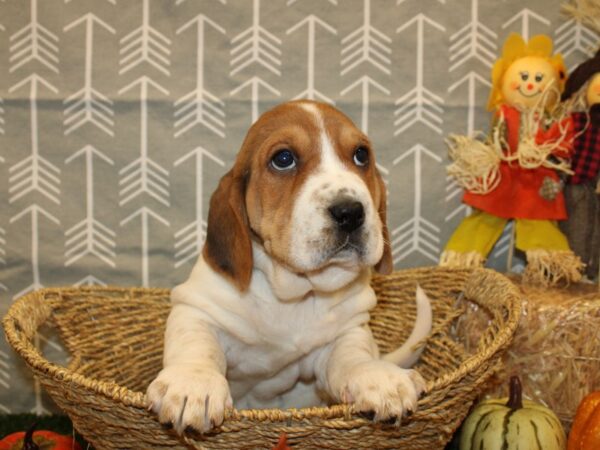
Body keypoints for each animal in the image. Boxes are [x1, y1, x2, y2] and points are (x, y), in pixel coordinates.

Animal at [148, 100, 434, 434]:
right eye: (283, 159)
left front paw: (377, 376)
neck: (292, 293)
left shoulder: (348, 331)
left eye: (361, 155)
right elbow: (196, 345)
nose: (350, 212)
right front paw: (193, 384)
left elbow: (354, 357)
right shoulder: (196, 308)